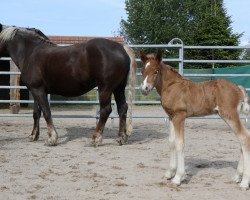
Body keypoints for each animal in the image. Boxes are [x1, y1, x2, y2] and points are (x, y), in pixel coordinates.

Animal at [0, 24, 137, 146]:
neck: (30, 52)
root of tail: (122, 48)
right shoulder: (35, 91)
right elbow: (36, 113)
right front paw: (34, 135)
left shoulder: (38, 90)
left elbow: (46, 112)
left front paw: (52, 138)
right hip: (118, 88)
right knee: (122, 108)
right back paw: (121, 138)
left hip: (105, 88)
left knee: (106, 110)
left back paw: (96, 138)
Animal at [141, 49, 250, 189]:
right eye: (143, 70)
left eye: (156, 71)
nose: (144, 89)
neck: (171, 86)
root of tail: (238, 88)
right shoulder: (171, 117)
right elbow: (171, 142)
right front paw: (169, 173)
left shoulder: (179, 116)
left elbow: (179, 143)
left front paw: (178, 178)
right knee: (242, 140)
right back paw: (237, 177)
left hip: (229, 115)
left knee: (244, 138)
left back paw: (244, 182)